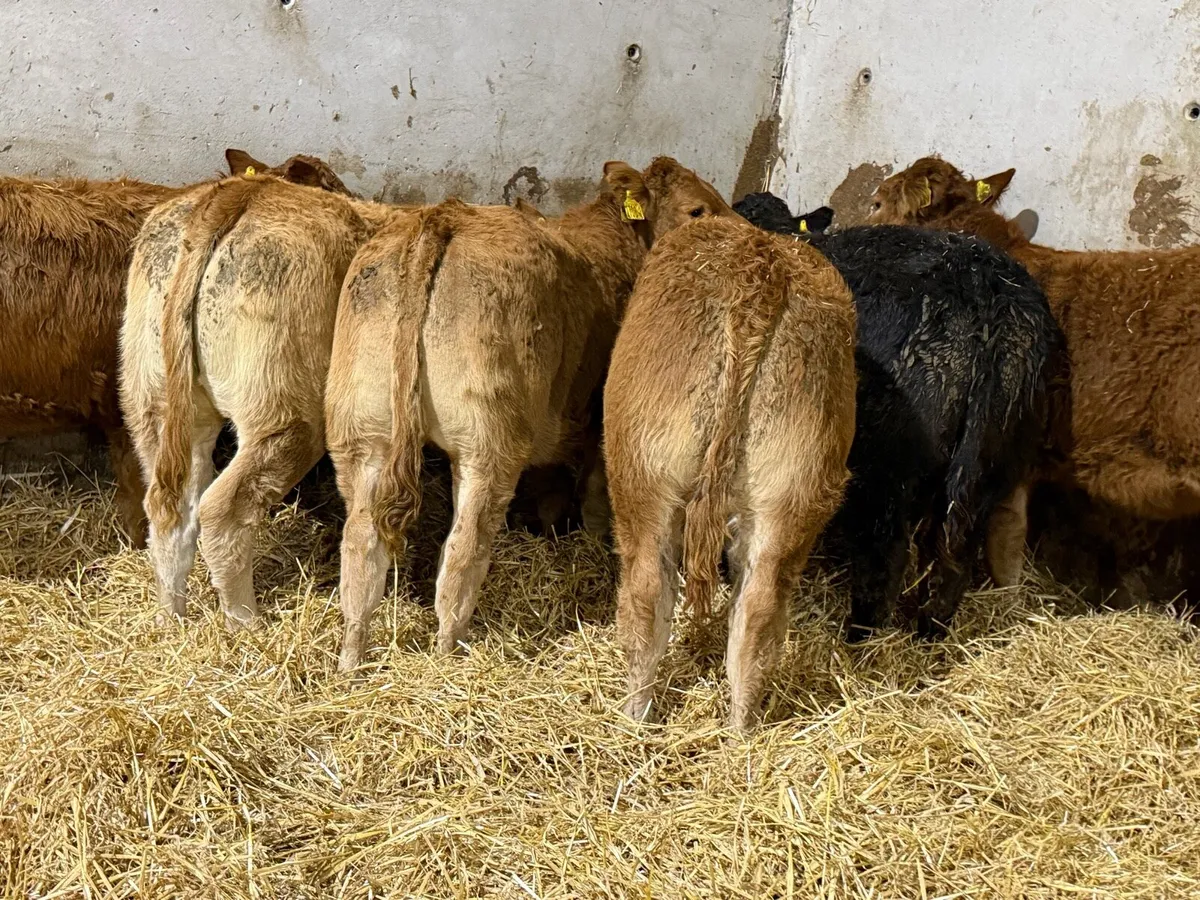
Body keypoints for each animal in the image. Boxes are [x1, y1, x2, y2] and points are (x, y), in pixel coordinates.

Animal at [120, 170, 392, 629]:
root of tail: (244, 190)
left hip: (156, 402)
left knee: (172, 507)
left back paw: (172, 616)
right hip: (286, 415)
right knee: (221, 511)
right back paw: (246, 623)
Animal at [328, 157, 732, 671]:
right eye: (698, 209)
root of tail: (444, 216)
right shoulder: (597, 418)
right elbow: (593, 494)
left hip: (364, 432)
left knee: (361, 544)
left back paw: (351, 657)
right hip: (488, 445)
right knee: (463, 551)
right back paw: (447, 652)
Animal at [734, 191, 1061, 637]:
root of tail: (989, 302)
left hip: (889, 470)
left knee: (885, 558)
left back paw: (860, 637)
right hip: (991, 468)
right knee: (955, 560)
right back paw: (930, 634)